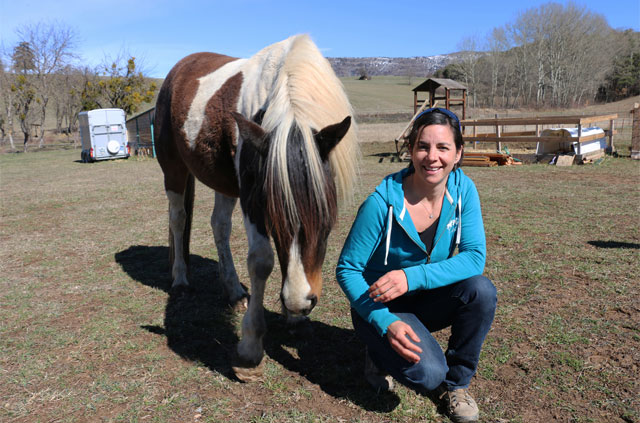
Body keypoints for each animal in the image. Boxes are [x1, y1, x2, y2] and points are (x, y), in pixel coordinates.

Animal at [153, 34, 358, 382]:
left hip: (224, 182)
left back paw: (234, 290)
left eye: (326, 217)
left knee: (219, 226)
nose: (299, 302)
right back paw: (180, 279)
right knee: (179, 220)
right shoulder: (252, 195)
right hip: (174, 169)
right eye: (272, 215)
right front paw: (250, 349)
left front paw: (295, 320)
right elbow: (261, 262)